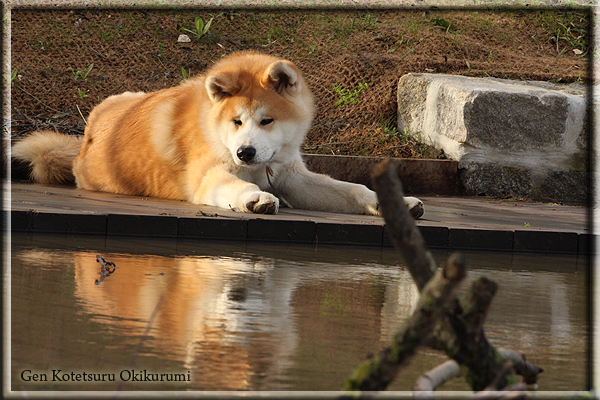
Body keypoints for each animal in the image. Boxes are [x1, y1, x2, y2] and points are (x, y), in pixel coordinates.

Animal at [11, 51, 424, 219]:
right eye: (236, 122)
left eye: (266, 121)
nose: (245, 153)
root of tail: (83, 142)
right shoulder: (208, 175)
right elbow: (235, 185)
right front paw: (255, 198)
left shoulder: (292, 176)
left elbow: (352, 190)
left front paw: (396, 203)